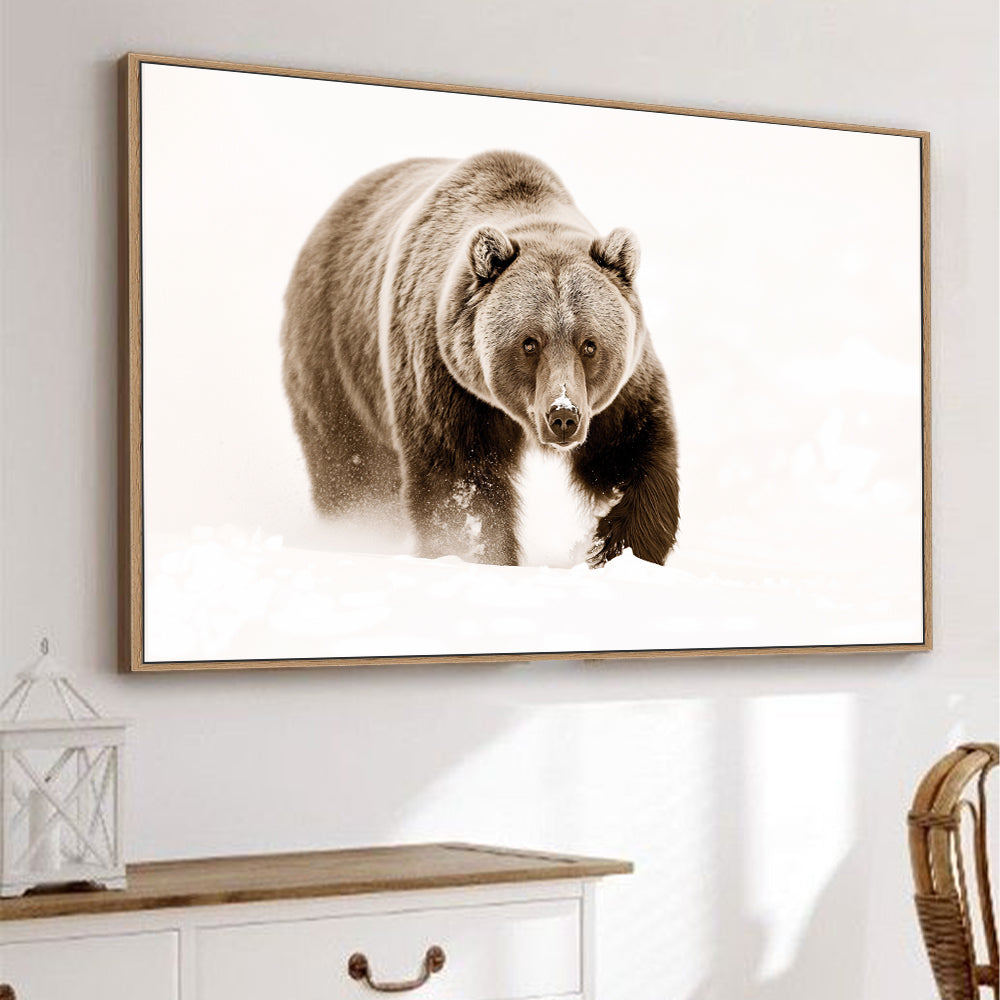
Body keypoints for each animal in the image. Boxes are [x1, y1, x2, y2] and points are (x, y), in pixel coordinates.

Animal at [281, 150, 679, 567]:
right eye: (529, 343)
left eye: (589, 344)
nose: (563, 416)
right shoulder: (447, 381)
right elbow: (461, 483)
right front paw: (479, 554)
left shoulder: (617, 395)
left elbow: (632, 457)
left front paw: (617, 547)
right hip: (337, 363)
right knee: (355, 468)